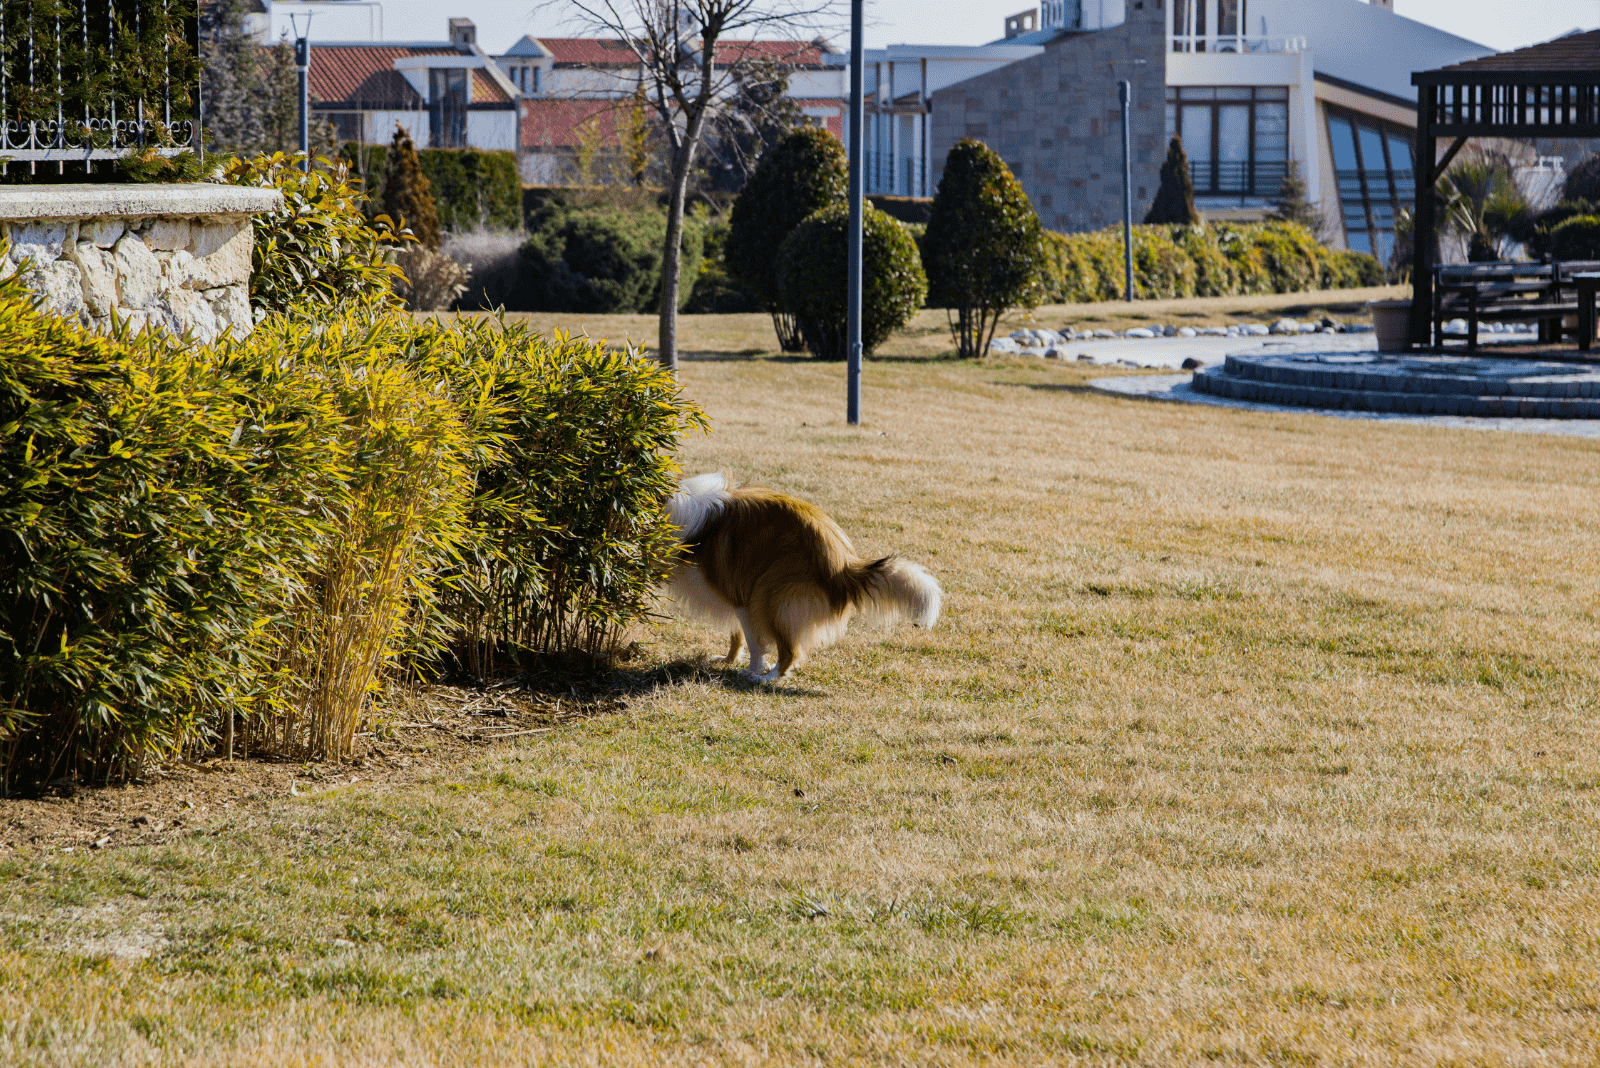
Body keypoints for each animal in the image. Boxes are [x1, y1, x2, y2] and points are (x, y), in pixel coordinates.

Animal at [662, 476, 934, 684]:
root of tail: (842, 563)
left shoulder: (742, 599)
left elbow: (754, 642)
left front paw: (754, 669)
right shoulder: (735, 591)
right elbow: (737, 635)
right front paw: (728, 660)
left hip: (768, 595)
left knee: (790, 651)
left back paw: (768, 678)